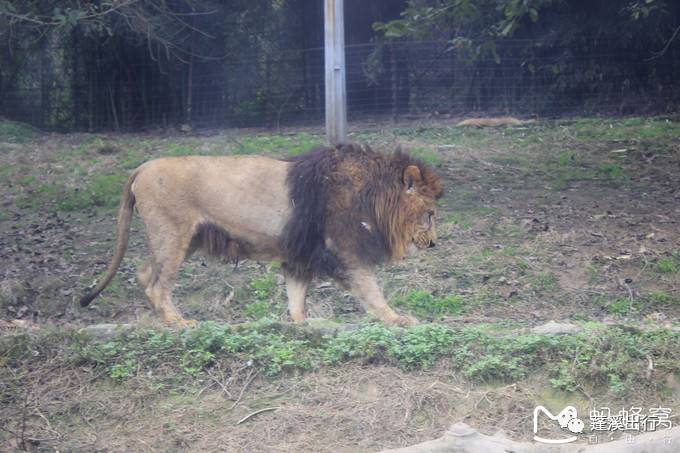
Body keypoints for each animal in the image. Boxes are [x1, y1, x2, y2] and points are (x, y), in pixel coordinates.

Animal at [79, 144, 444, 324]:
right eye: (430, 214)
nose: (434, 244)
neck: (373, 195)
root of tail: (141, 167)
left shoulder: (300, 253)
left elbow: (296, 296)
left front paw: (301, 324)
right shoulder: (344, 250)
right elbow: (371, 291)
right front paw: (397, 319)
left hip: (181, 239)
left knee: (145, 273)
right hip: (172, 234)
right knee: (157, 284)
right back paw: (179, 323)